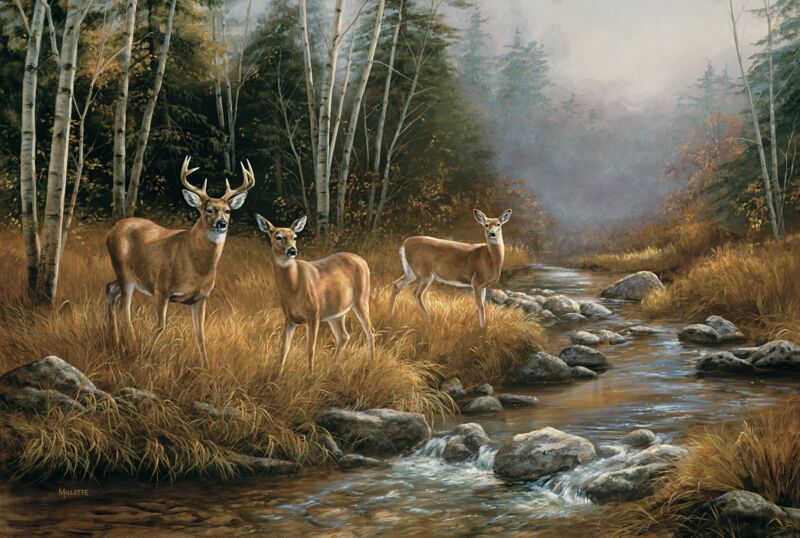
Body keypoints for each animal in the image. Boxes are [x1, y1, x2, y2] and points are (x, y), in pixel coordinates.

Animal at [105, 156, 255, 363]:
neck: (196, 266)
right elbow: (160, 325)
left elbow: (200, 334)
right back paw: (132, 346)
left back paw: (116, 342)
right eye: (209, 210)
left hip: (131, 277)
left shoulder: (201, 297)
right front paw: (146, 355)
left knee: (110, 289)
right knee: (124, 310)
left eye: (228, 210)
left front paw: (205, 365)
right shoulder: (162, 288)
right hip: (123, 269)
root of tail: (112, 231)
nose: (222, 223)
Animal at [255, 214, 374, 374]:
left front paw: (310, 375)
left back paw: (371, 364)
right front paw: (278, 374)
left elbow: (310, 349)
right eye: (278, 237)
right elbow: (284, 348)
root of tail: (363, 261)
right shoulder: (289, 318)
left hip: (361, 299)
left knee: (370, 331)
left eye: (295, 237)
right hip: (336, 312)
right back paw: (332, 366)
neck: (294, 289)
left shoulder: (314, 314)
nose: (292, 251)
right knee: (344, 336)